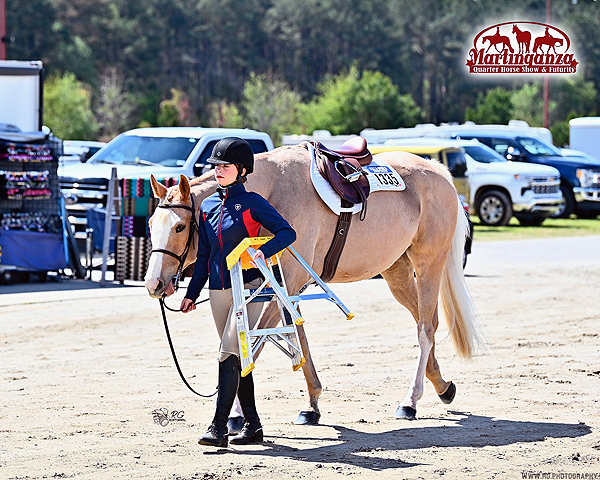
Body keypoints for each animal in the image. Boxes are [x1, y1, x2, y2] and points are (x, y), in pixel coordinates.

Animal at [144, 145, 482, 420]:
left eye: (179, 226)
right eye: (150, 223)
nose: (153, 283)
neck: (270, 193)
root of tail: (437, 170)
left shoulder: (286, 282)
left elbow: (256, 342)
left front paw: (237, 415)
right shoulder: (285, 287)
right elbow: (297, 337)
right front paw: (312, 404)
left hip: (428, 264)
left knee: (425, 328)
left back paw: (410, 401)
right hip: (396, 272)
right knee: (426, 321)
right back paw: (442, 386)